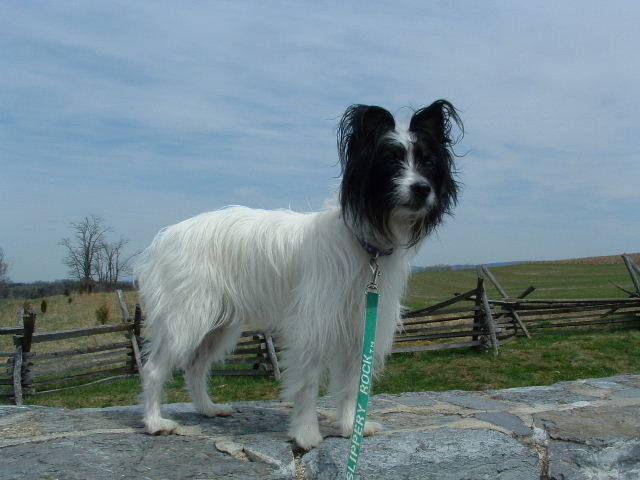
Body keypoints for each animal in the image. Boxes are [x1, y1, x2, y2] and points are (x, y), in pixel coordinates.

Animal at [138, 100, 462, 450]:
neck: (364, 246)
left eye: (429, 162)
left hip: (219, 324)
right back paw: (155, 422)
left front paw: (351, 427)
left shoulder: (358, 326)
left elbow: (352, 384)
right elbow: (307, 383)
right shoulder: (314, 325)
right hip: (187, 317)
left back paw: (208, 409)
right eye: (391, 161)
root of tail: (168, 235)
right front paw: (306, 434)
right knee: (154, 369)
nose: (422, 189)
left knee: (195, 366)